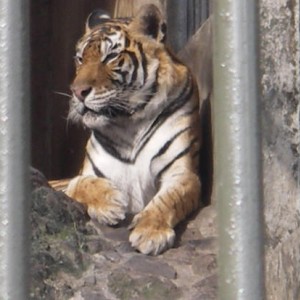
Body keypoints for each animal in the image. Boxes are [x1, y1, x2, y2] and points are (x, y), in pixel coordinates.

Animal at [58, 3, 200, 254]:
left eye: (110, 57)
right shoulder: (85, 175)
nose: (77, 92)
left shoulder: (182, 173)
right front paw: (111, 204)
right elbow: (81, 183)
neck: (129, 123)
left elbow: (168, 200)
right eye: (80, 59)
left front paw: (150, 233)